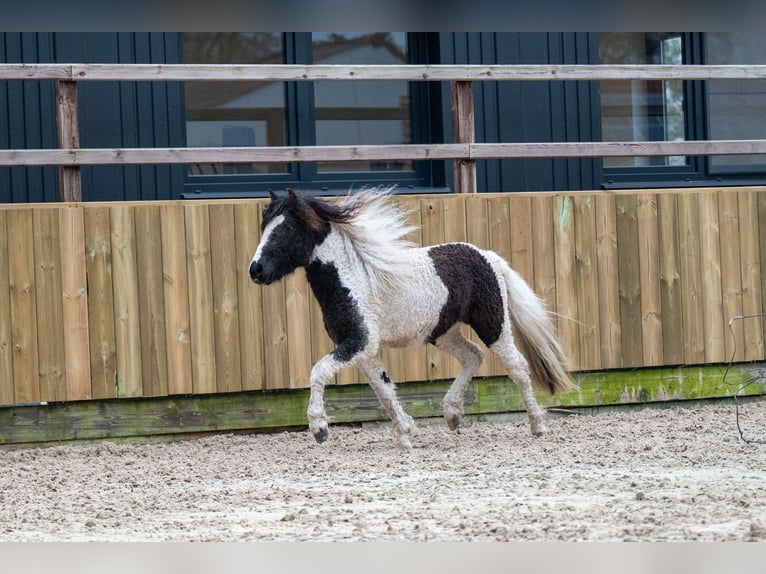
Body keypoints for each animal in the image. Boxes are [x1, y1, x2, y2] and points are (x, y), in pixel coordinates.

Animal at [249, 189, 572, 450]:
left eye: (286, 229)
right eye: (265, 227)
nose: (256, 270)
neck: (353, 279)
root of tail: (488, 257)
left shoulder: (358, 344)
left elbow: (318, 372)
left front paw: (319, 429)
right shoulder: (363, 350)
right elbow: (383, 389)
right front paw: (405, 434)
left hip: (493, 324)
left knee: (516, 366)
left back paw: (537, 425)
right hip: (443, 332)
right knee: (473, 356)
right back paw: (452, 415)